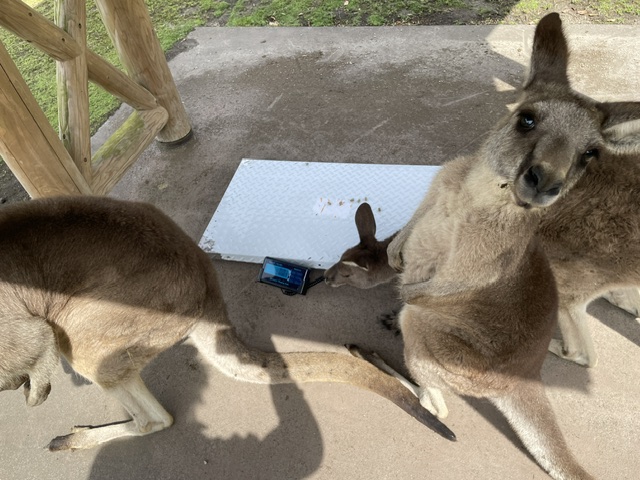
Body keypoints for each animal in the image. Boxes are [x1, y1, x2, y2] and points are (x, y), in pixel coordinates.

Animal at [0, 194, 456, 452]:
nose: (327, 278)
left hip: (94, 329)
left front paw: (31, 391)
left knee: (155, 418)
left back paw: (67, 435)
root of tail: (206, 294)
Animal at [376, 12, 640, 480]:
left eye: (590, 154)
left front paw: (404, 287)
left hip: (438, 340)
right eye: (527, 120)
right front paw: (396, 251)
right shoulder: (441, 183)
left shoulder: (477, 264)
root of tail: (523, 380)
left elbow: (434, 288)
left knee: (437, 397)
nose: (546, 183)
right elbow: (414, 222)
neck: (476, 196)